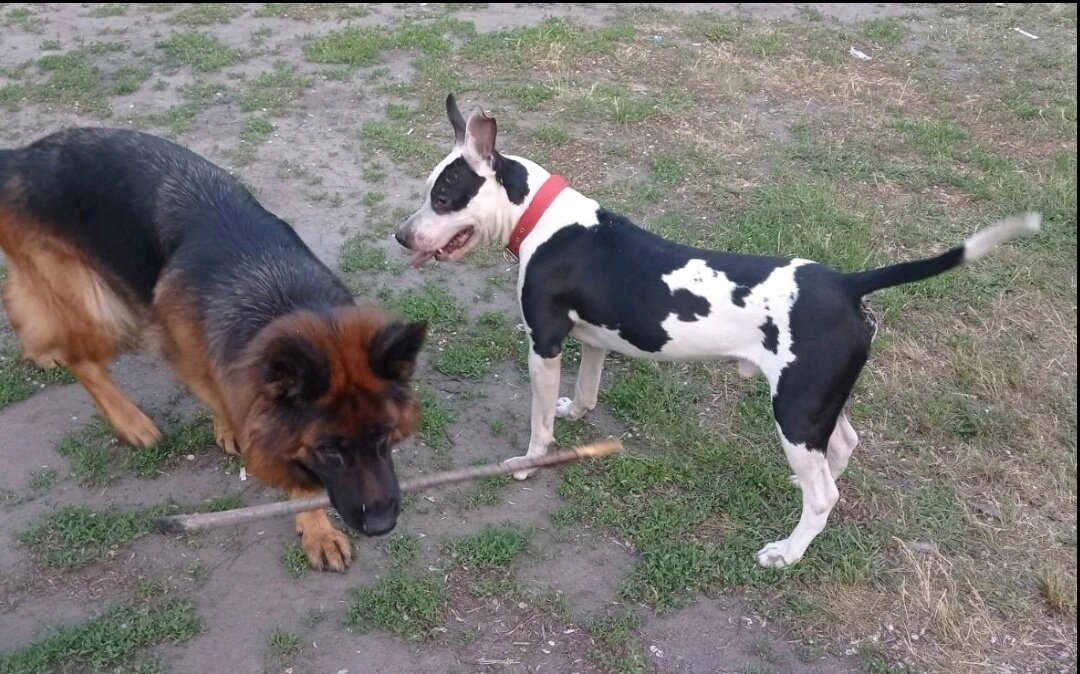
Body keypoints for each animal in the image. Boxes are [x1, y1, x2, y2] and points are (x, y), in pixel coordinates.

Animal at [0, 127, 428, 572]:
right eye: (329, 450)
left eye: (384, 436)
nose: (381, 525)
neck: (276, 294)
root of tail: (19, 157)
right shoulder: (190, 358)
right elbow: (227, 403)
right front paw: (314, 526)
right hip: (103, 307)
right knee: (81, 358)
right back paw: (130, 421)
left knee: (16, 292)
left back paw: (40, 350)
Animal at [393, 94, 1041, 569]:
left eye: (445, 196)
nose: (401, 236)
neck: (542, 219)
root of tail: (846, 284)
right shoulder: (595, 338)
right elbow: (586, 388)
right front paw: (577, 412)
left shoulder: (544, 343)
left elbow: (538, 424)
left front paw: (529, 462)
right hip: (814, 403)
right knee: (840, 452)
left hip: (795, 409)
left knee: (824, 493)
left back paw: (788, 552)